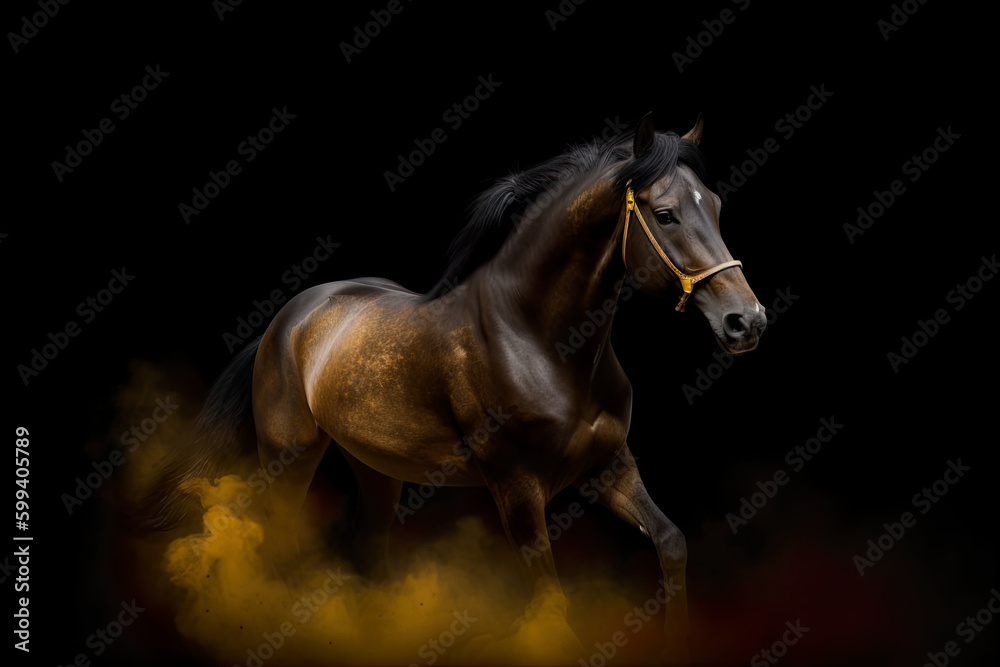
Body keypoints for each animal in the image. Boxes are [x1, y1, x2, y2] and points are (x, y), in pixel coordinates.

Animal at [146, 113, 766, 662]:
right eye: (665, 215)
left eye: (715, 205)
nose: (747, 321)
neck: (541, 341)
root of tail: (288, 318)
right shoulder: (516, 486)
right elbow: (551, 604)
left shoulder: (609, 465)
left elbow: (671, 543)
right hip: (288, 457)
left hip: (376, 469)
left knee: (369, 551)